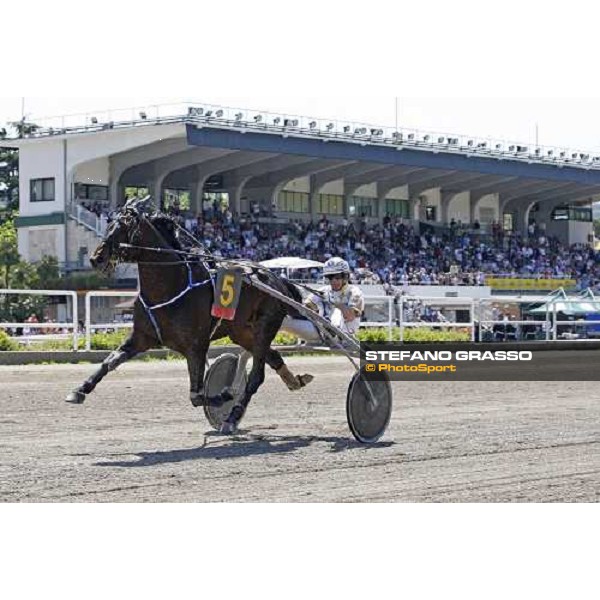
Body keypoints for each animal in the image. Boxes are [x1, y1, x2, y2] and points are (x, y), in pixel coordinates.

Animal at [64, 199, 314, 434]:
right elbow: (109, 362)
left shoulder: (196, 345)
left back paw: (232, 418)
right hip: (242, 332)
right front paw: (79, 391)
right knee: (272, 357)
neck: (170, 286)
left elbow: (196, 395)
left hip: (265, 326)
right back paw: (295, 381)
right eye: (109, 226)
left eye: (123, 229)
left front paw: (223, 396)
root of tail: (277, 279)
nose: (96, 258)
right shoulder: (141, 337)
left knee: (256, 376)